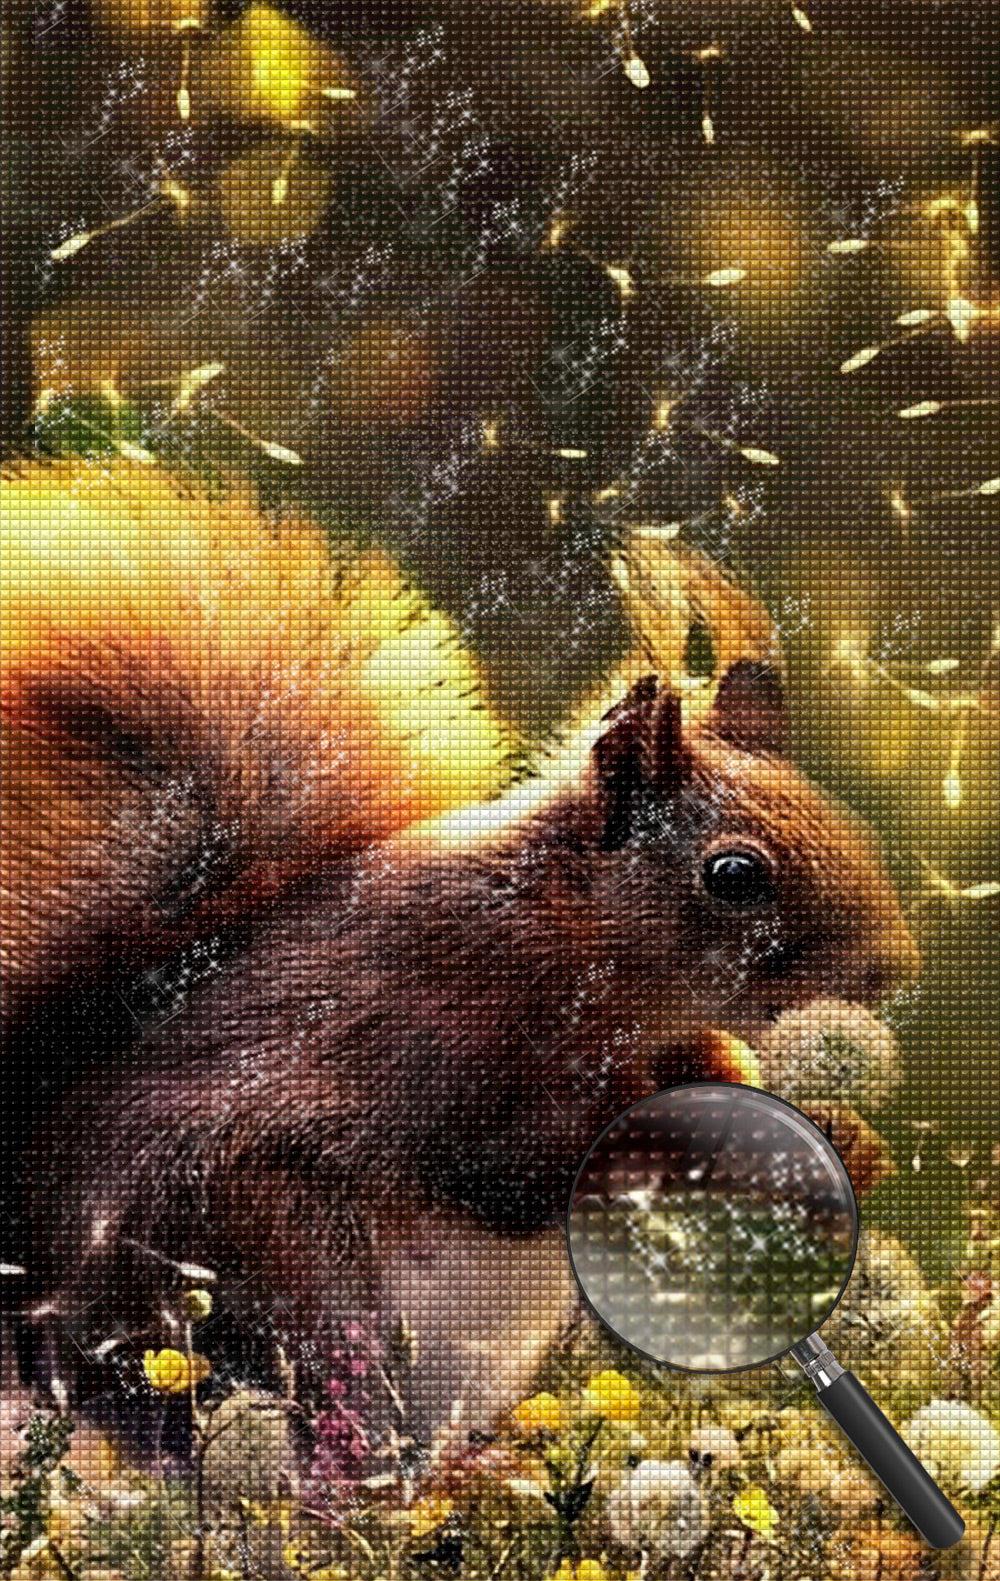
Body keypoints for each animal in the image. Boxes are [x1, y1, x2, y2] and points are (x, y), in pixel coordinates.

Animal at [3, 458, 918, 1448]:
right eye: (736, 873)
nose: (895, 969)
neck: (577, 936)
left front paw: (847, 1139)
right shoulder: (455, 1025)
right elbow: (525, 1159)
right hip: (266, 1250)